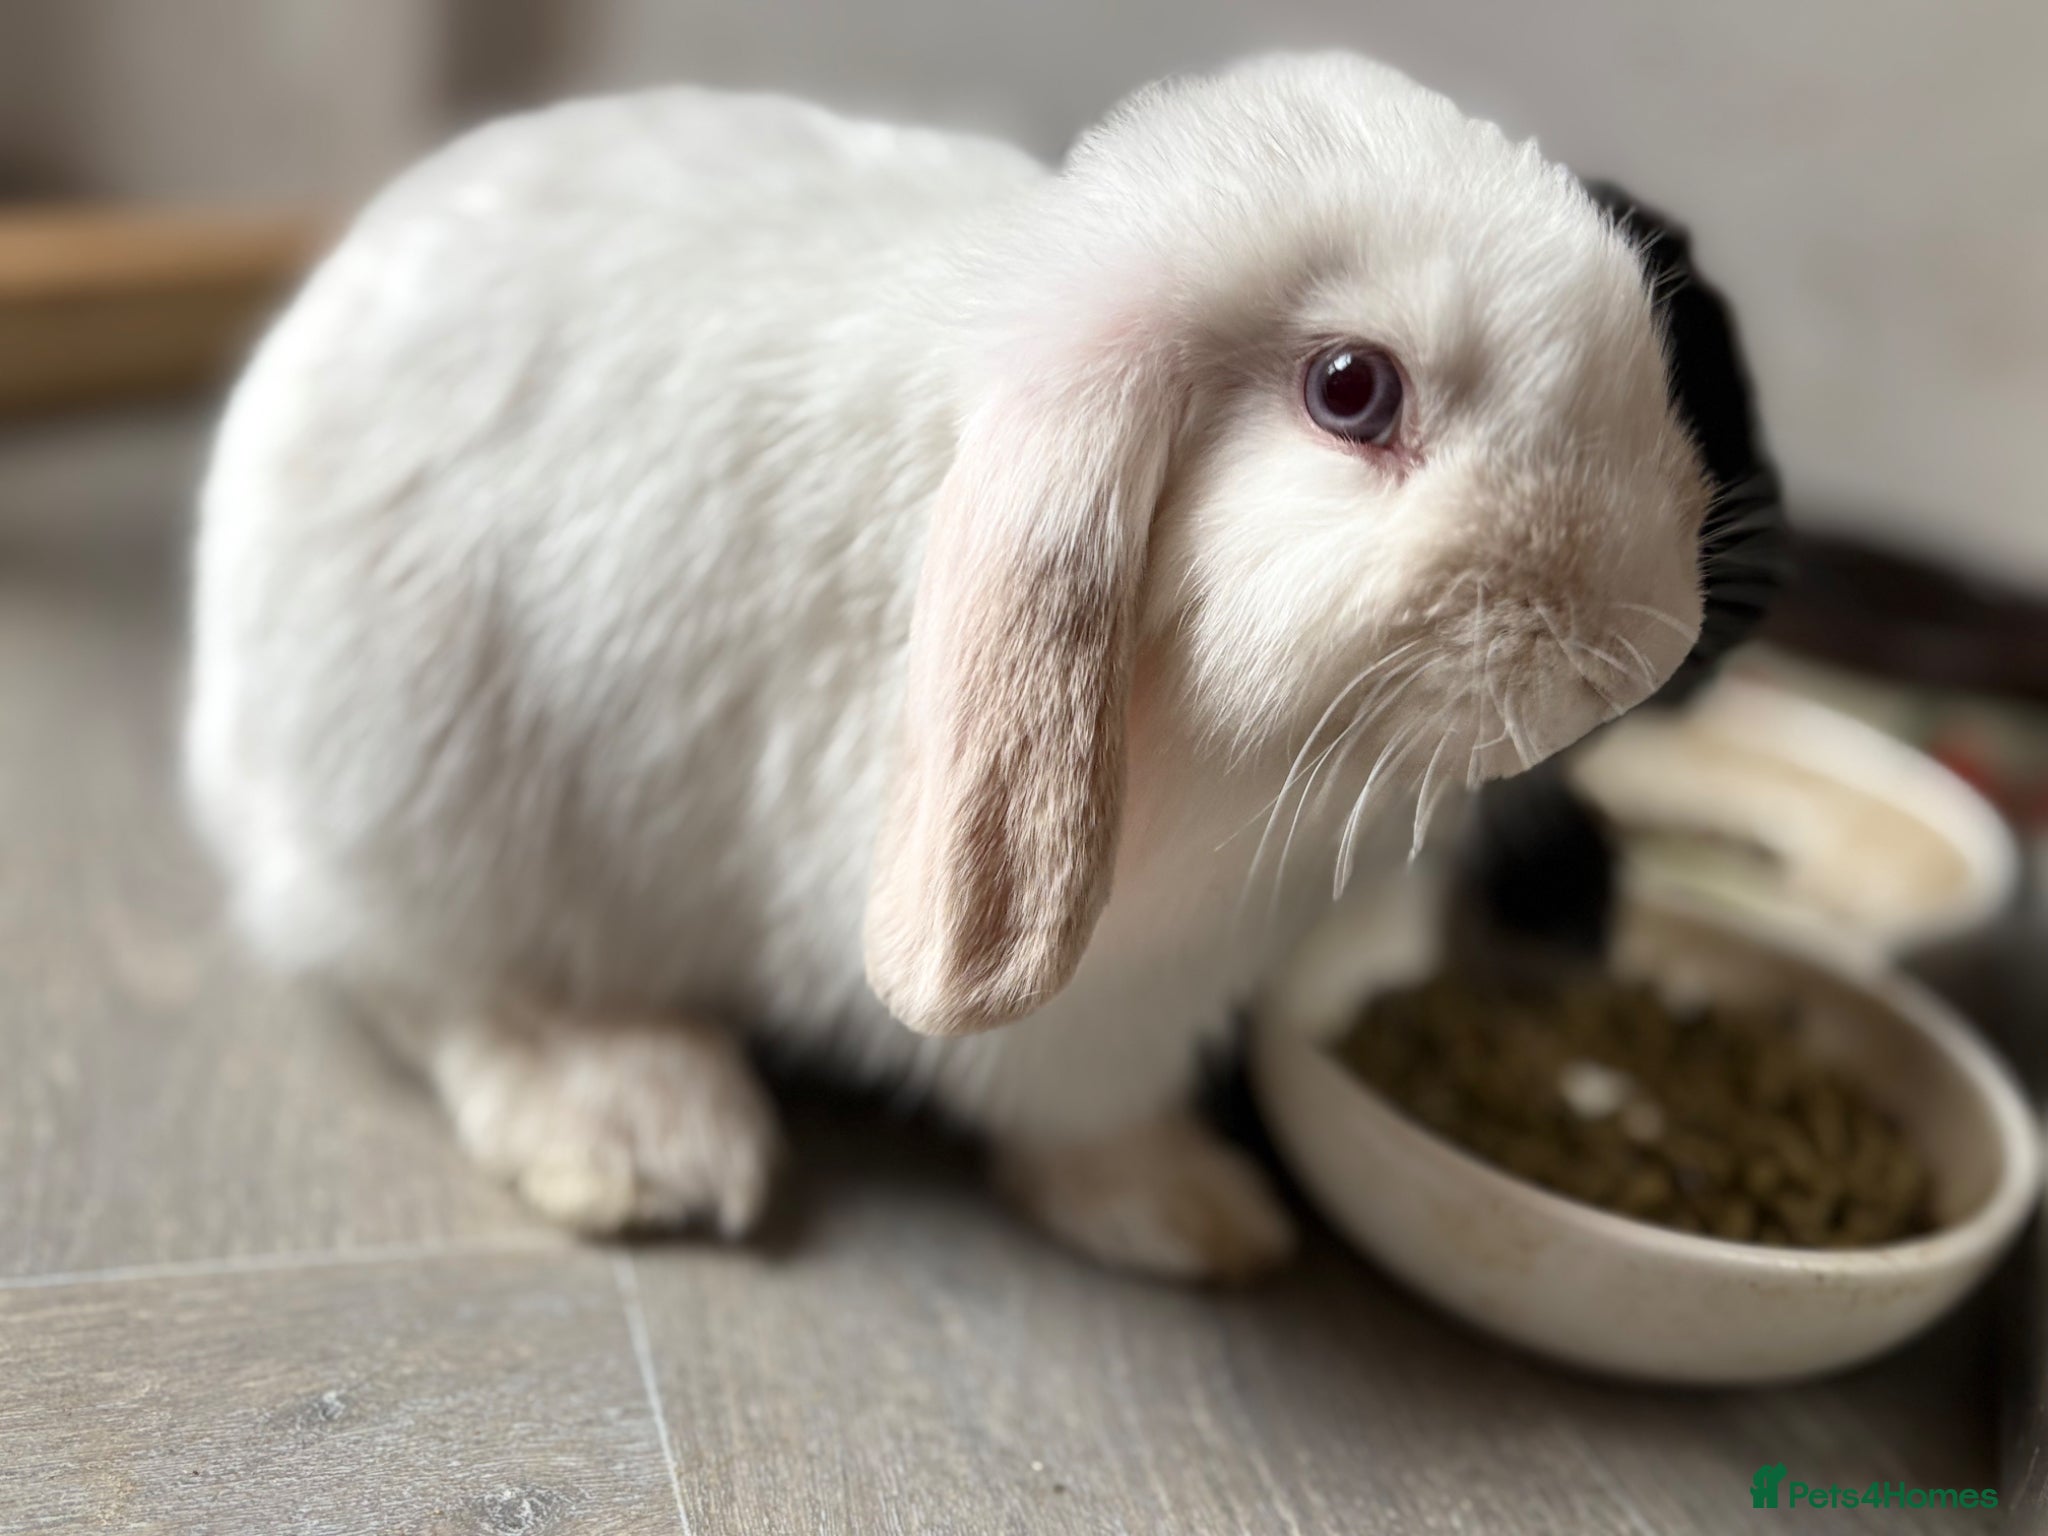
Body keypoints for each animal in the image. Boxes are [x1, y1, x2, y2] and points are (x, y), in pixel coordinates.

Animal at [185, 52, 1710, 1282]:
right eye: (1350, 391)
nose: (1639, 649)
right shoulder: (1096, 1008)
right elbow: (1085, 1110)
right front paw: (1202, 1217)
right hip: (434, 819)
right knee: (432, 986)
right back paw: (643, 1135)